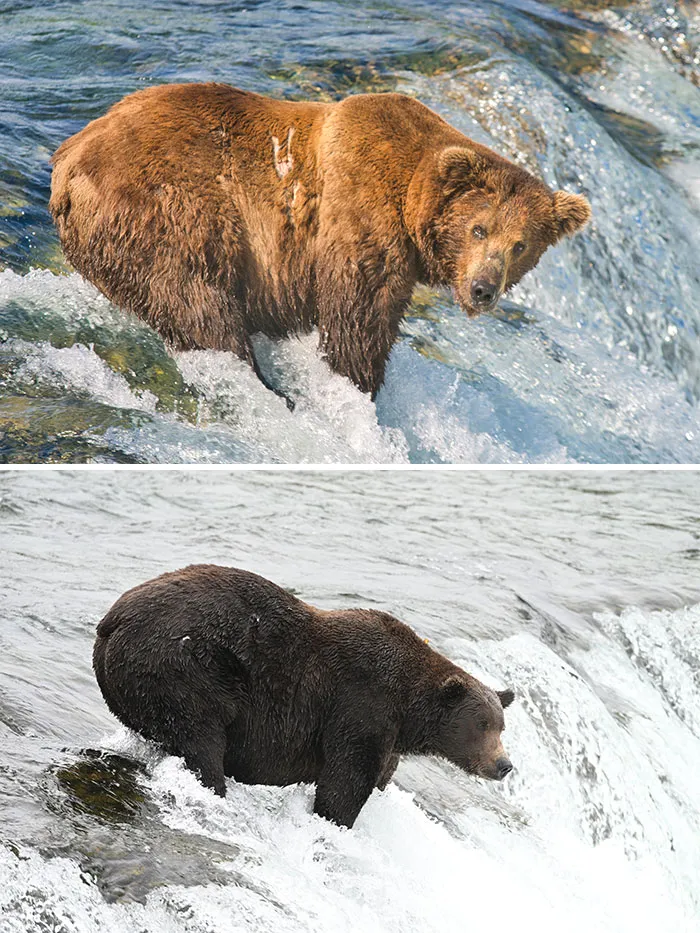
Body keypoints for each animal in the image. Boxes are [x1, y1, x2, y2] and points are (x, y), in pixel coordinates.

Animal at [50, 82, 590, 399]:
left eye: (521, 245)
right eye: (480, 228)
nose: (482, 289)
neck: (410, 195)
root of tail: (68, 161)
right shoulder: (359, 210)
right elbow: (359, 315)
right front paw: (358, 386)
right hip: (167, 208)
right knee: (197, 300)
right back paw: (269, 387)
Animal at [93, 564, 515, 828]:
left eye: (501, 726)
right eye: (482, 725)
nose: (504, 765)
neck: (409, 712)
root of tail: (113, 619)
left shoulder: (388, 735)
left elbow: (378, 775)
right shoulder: (361, 706)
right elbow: (345, 782)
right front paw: (334, 820)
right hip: (185, 667)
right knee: (201, 738)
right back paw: (214, 785)